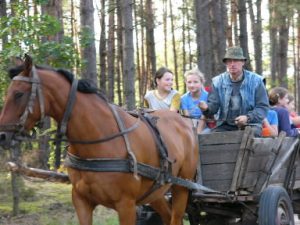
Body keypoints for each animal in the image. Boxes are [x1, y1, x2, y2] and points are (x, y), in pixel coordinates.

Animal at [0, 55, 199, 225]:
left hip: (181, 187)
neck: (98, 140)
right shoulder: (81, 201)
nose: (2, 135)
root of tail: (184, 123)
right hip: (156, 192)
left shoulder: (126, 205)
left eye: (18, 94)